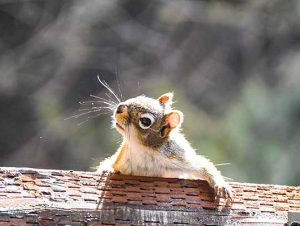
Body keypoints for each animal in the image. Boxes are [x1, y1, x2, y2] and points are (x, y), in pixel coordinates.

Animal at [97, 92, 233, 200]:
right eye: (139, 96)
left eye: (145, 121)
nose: (119, 108)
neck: (143, 149)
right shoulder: (122, 160)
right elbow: (110, 164)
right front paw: (107, 169)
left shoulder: (178, 157)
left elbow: (204, 166)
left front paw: (221, 185)